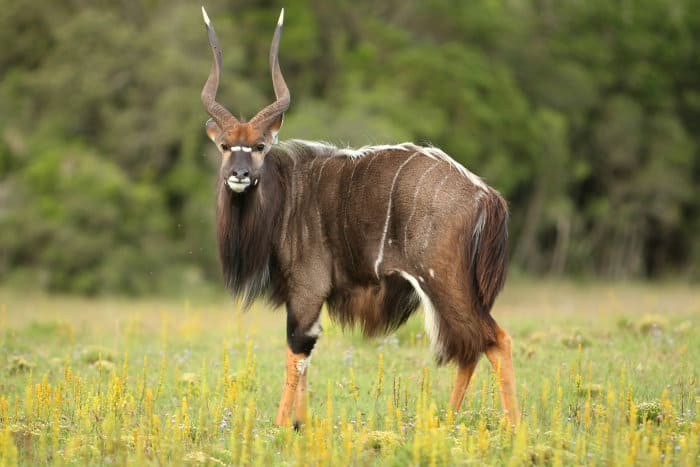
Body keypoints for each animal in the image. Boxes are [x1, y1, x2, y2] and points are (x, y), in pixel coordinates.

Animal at [200, 7, 516, 430]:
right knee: (471, 347)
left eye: (259, 146)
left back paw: (513, 428)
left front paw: (282, 427)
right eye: (225, 146)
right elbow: (306, 355)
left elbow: (296, 350)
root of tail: (486, 196)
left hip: (444, 283)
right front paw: (301, 425)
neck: (287, 196)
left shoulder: (306, 288)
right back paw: (447, 421)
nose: (240, 175)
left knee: (494, 340)